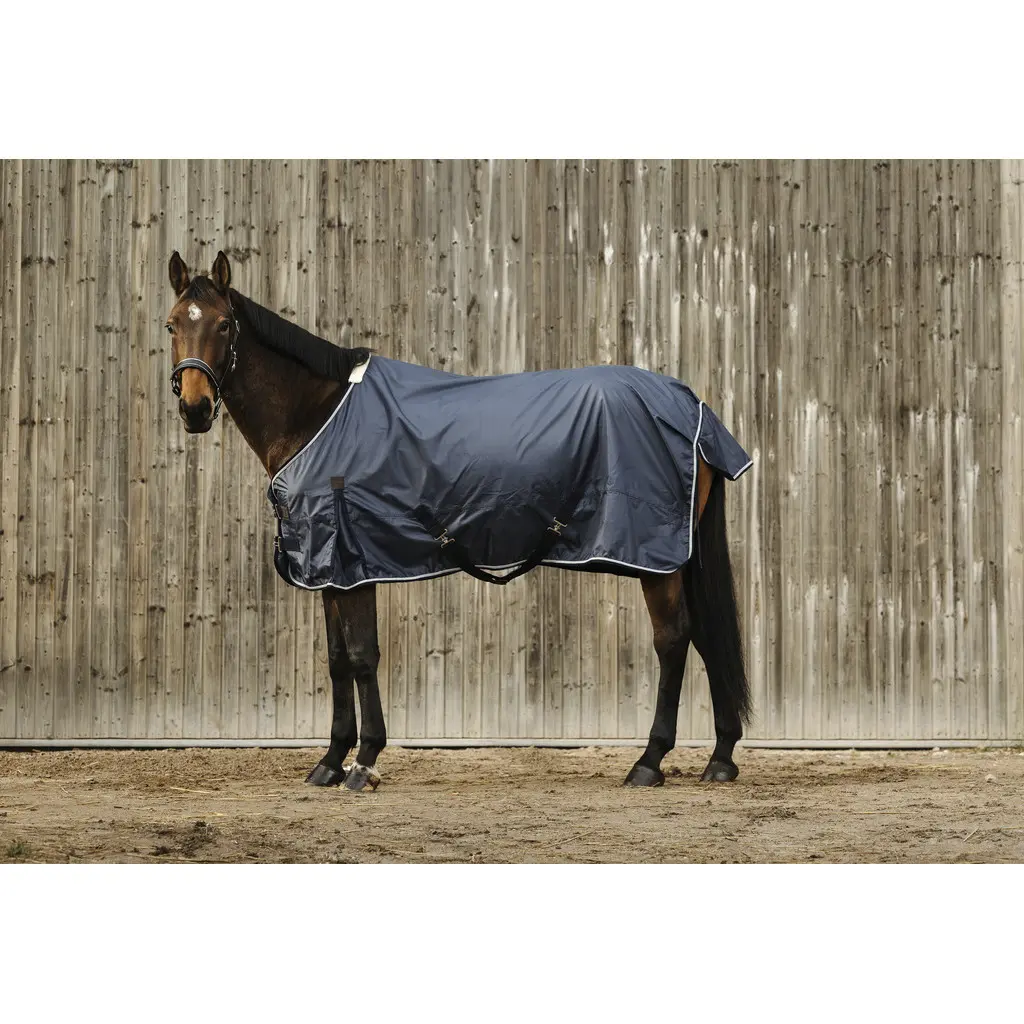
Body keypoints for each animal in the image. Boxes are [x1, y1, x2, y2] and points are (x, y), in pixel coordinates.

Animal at [165, 249, 752, 792]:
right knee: (704, 637)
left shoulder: (353, 561)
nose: (194, 409)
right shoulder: (329, 567)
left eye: (223, 324)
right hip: (682, 554)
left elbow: (362, 655)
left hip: (658, 559)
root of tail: (692, 406)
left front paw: (365, 761)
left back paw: (649, 762)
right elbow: (336, 659)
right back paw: (720, 758)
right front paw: (330, 761)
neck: (319, 415)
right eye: (173, 324)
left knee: (673, 640)